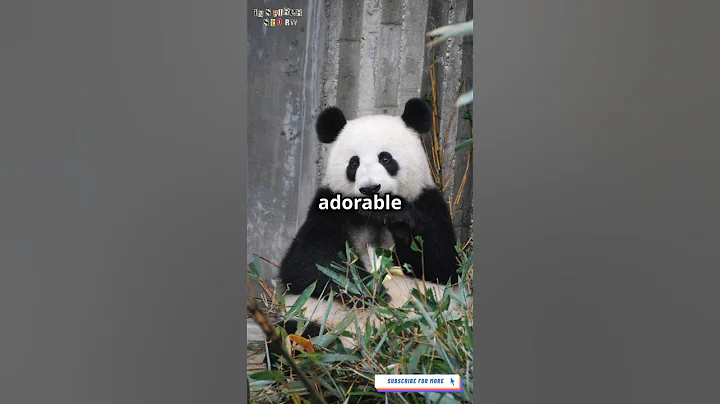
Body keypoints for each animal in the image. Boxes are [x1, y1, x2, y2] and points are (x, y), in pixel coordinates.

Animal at [267, 98, 463, 368]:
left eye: (386, 159)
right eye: (354, 163)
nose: (371, 188)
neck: (372, 214)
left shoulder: (428, 201)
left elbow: (444, 264)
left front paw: (399, 218)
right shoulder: (328, 210)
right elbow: (306, 265)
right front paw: (371, 290)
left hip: (441, 318)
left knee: (441, 335)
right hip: (315, 316)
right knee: (292, 334)